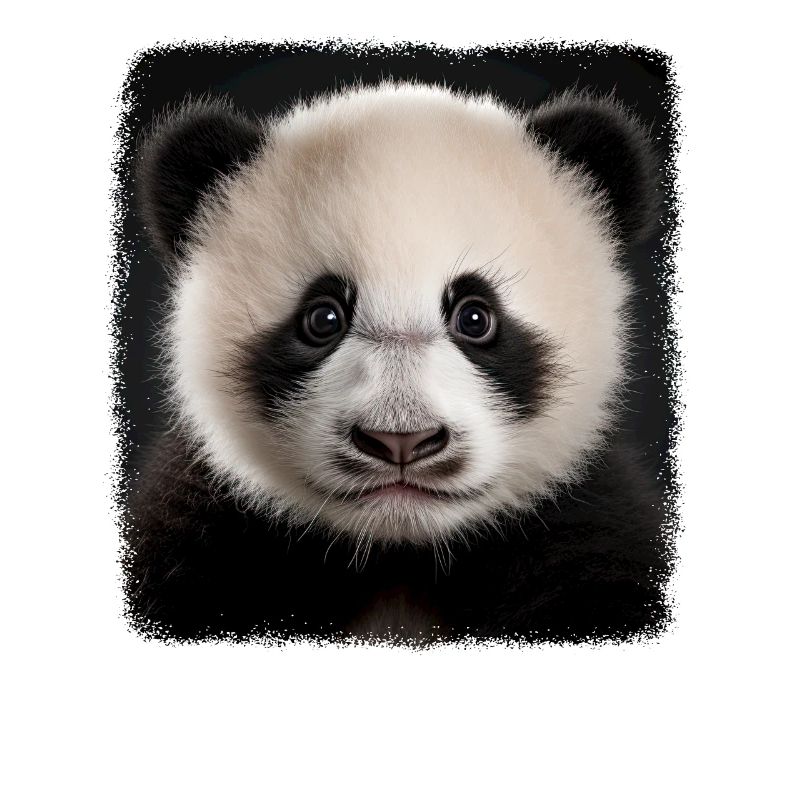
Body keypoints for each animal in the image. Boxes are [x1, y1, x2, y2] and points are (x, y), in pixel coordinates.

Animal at [127, 81, 671, 643]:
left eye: (476, 318)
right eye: (323, 319)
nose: (400, 441)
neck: (399, 555)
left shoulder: (588, 533)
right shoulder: (204, 534)